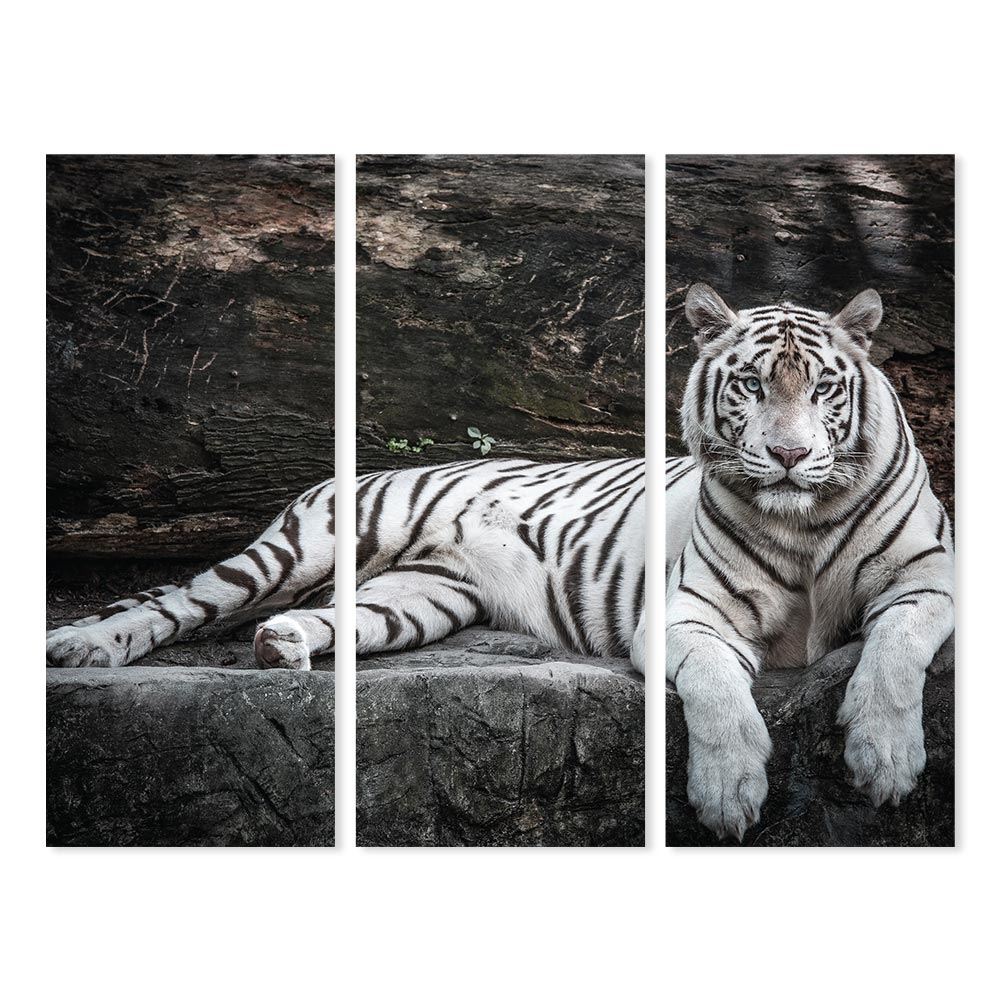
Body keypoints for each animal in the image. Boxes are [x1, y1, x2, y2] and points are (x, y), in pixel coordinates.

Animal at [46, 458, 647, 672]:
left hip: (424, 594)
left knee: (340, 619)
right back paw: (81, 647)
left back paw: (282, 644)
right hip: (305, 548)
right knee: (182, 602)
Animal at [658, 283, 954, 841]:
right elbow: (711, 679)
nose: (789, 454)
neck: (804, 523)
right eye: (752, 385)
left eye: (823, 388)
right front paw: (727, 790)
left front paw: (886, 760)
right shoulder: (694, 606)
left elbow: (898, 643)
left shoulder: (928, 569)